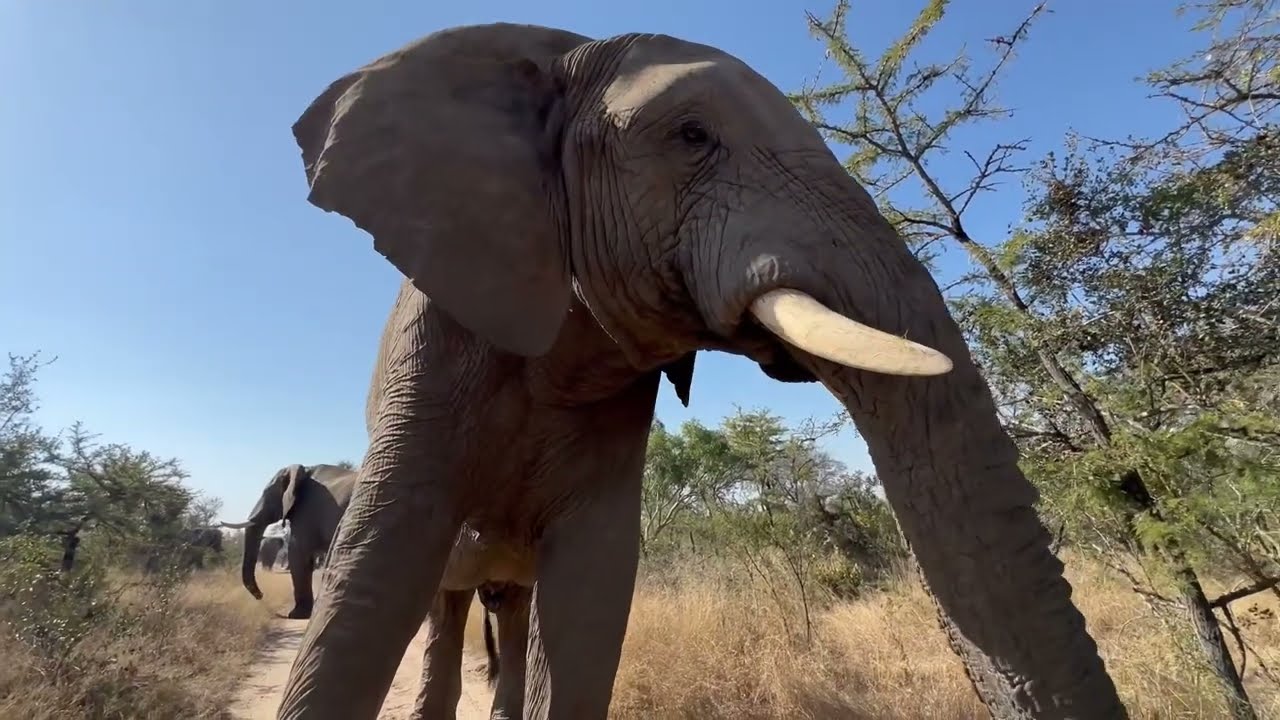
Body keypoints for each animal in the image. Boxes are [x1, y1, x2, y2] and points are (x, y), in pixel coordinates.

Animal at [220, 463, 356, 619]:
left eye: (266, 492)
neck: (305, 469)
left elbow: (297, 554)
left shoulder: (307, 511)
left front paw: (296, 615)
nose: (261, 596)